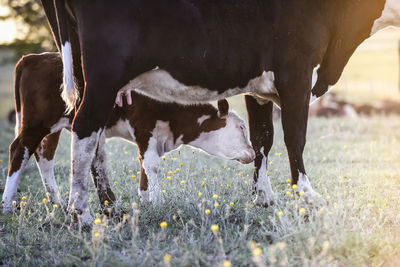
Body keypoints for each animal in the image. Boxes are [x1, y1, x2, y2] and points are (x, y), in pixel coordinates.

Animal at [1, 52, 255, 218]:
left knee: (44, 156)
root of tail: (33, 57)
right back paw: (7, 205)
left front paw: (146, 202)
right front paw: (159, 202)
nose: (253, 154)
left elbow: (144, 167)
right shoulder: (145, 128)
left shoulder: (152, 138)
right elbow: (151, 165)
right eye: (241, 128)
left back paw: (57, 203)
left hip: (55, 125)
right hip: (38, 121)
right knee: (19, 149)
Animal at [38, 0, 400, 226]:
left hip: (83, 72)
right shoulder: (296, 73)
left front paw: (263, 197)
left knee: (93, 138)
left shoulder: (260, 86)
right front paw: (307, 197)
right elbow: (295, 138)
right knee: (85, 127)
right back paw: (81, 214)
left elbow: (263, 139)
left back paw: (109, 207)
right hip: (105, 71)